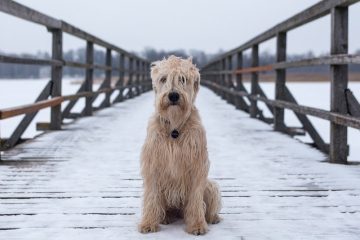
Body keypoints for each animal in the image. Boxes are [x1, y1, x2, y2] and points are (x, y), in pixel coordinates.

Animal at [139, 55, 221, 235]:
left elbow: (196, 200)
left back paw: (213, 217)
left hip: (210, 185)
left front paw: (197, 225)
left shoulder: (197, 166)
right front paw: (148, 223)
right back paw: (165, 217)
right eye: (163, 79)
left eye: (183, 79)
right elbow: (151, 196)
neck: (175, 127)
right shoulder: (153, 164)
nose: (173, 96)